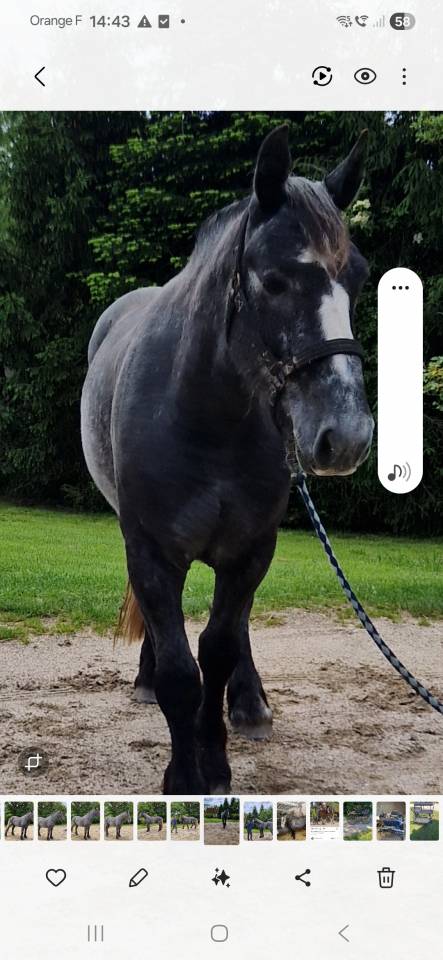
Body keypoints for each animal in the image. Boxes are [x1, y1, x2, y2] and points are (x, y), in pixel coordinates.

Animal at [81, 124, 373, 794]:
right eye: (274, 280)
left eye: (360, 277)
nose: (346, 435)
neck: (206, 416)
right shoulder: (152, 552)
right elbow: (178, 669)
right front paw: (183, 773)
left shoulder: (250, 551)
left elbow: (215, 649)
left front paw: (213, 758)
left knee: (232, 631)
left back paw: (249, 702)